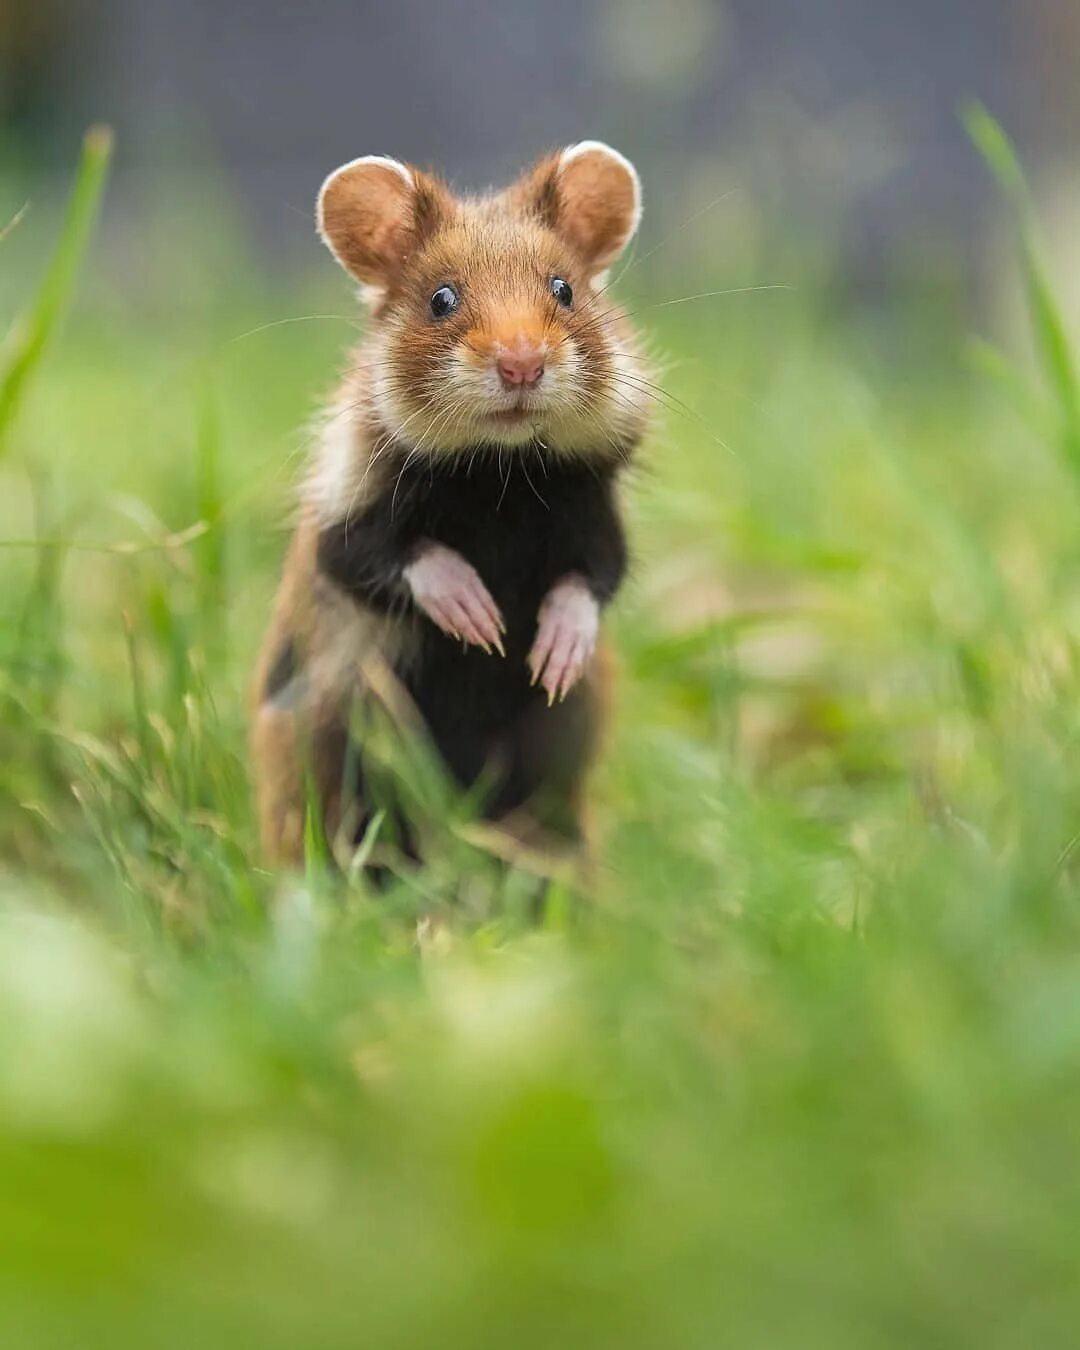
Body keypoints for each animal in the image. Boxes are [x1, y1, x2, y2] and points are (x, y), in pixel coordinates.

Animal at [253, 142, 653, 869]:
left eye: (564, 289)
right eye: (441, 300)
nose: (522, 365)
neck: (502, 478)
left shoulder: (594, 514)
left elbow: (592, 581)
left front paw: (551, 660)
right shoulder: (339, 526)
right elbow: (397, 557)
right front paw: (481, 621)